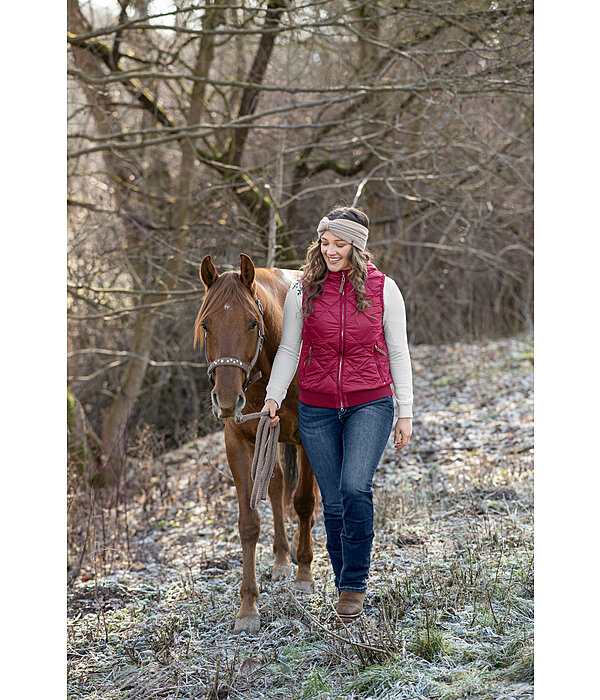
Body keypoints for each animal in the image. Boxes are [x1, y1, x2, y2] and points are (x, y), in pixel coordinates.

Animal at [196, 253, 318, 636]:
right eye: (206, 325)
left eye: (252, 323)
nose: (226, 398)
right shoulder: (237, 443)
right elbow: (249, 523)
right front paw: (248, 607)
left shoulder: (308, 438)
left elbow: (304, 503)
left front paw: (304, 574)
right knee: (276, 484)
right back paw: (280, 559)